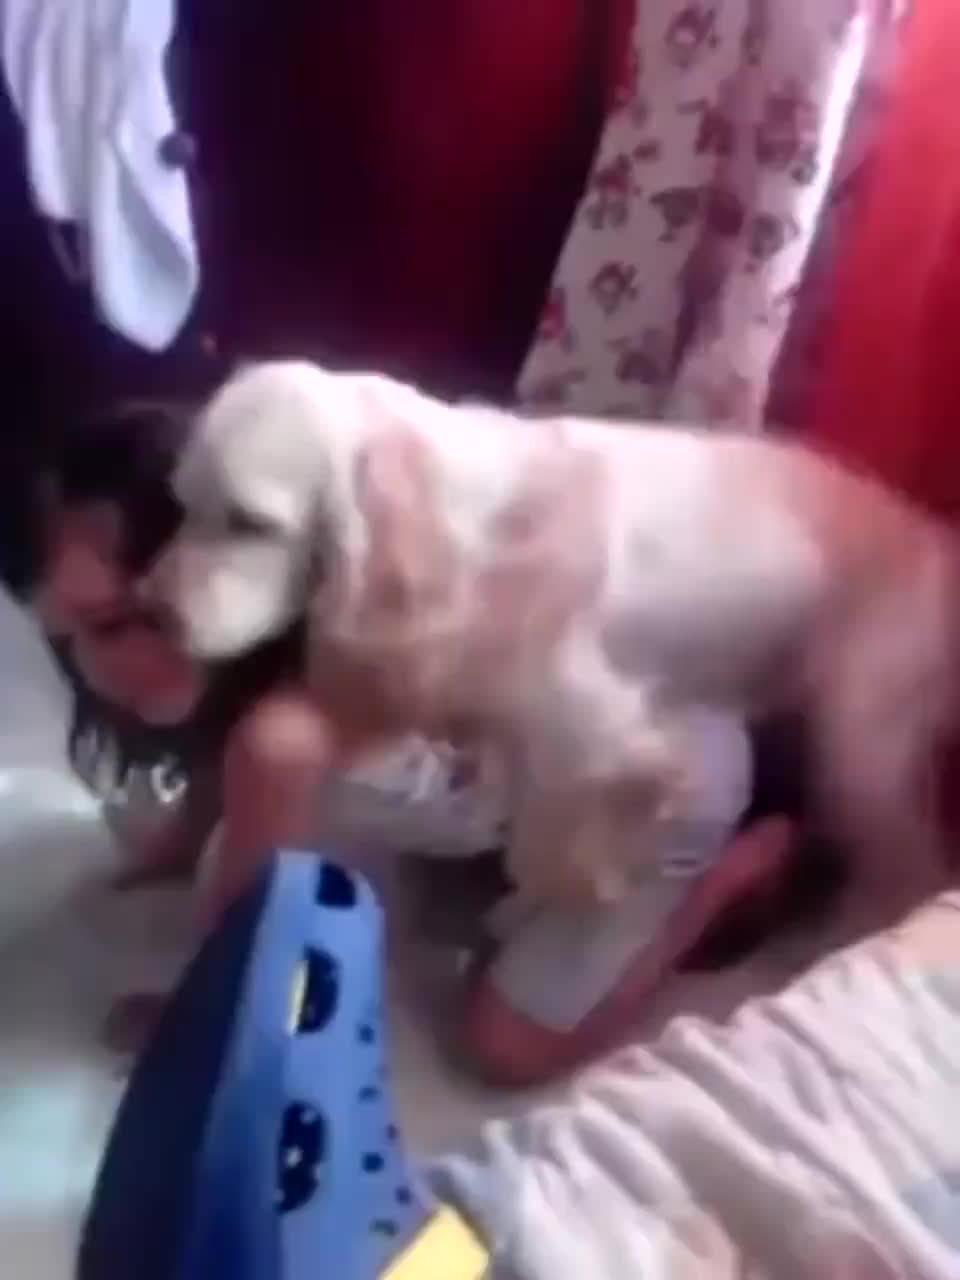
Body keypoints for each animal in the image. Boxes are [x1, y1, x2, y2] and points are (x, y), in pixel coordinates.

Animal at [150, 360, 959, 917]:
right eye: (183, 506)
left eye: (252, 523)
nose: (152, 611)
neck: (464, 532)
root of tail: (937, 540)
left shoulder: (610, 730)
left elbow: (556, 835)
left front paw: (594, 878)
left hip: (859, 746)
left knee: (908, 867)